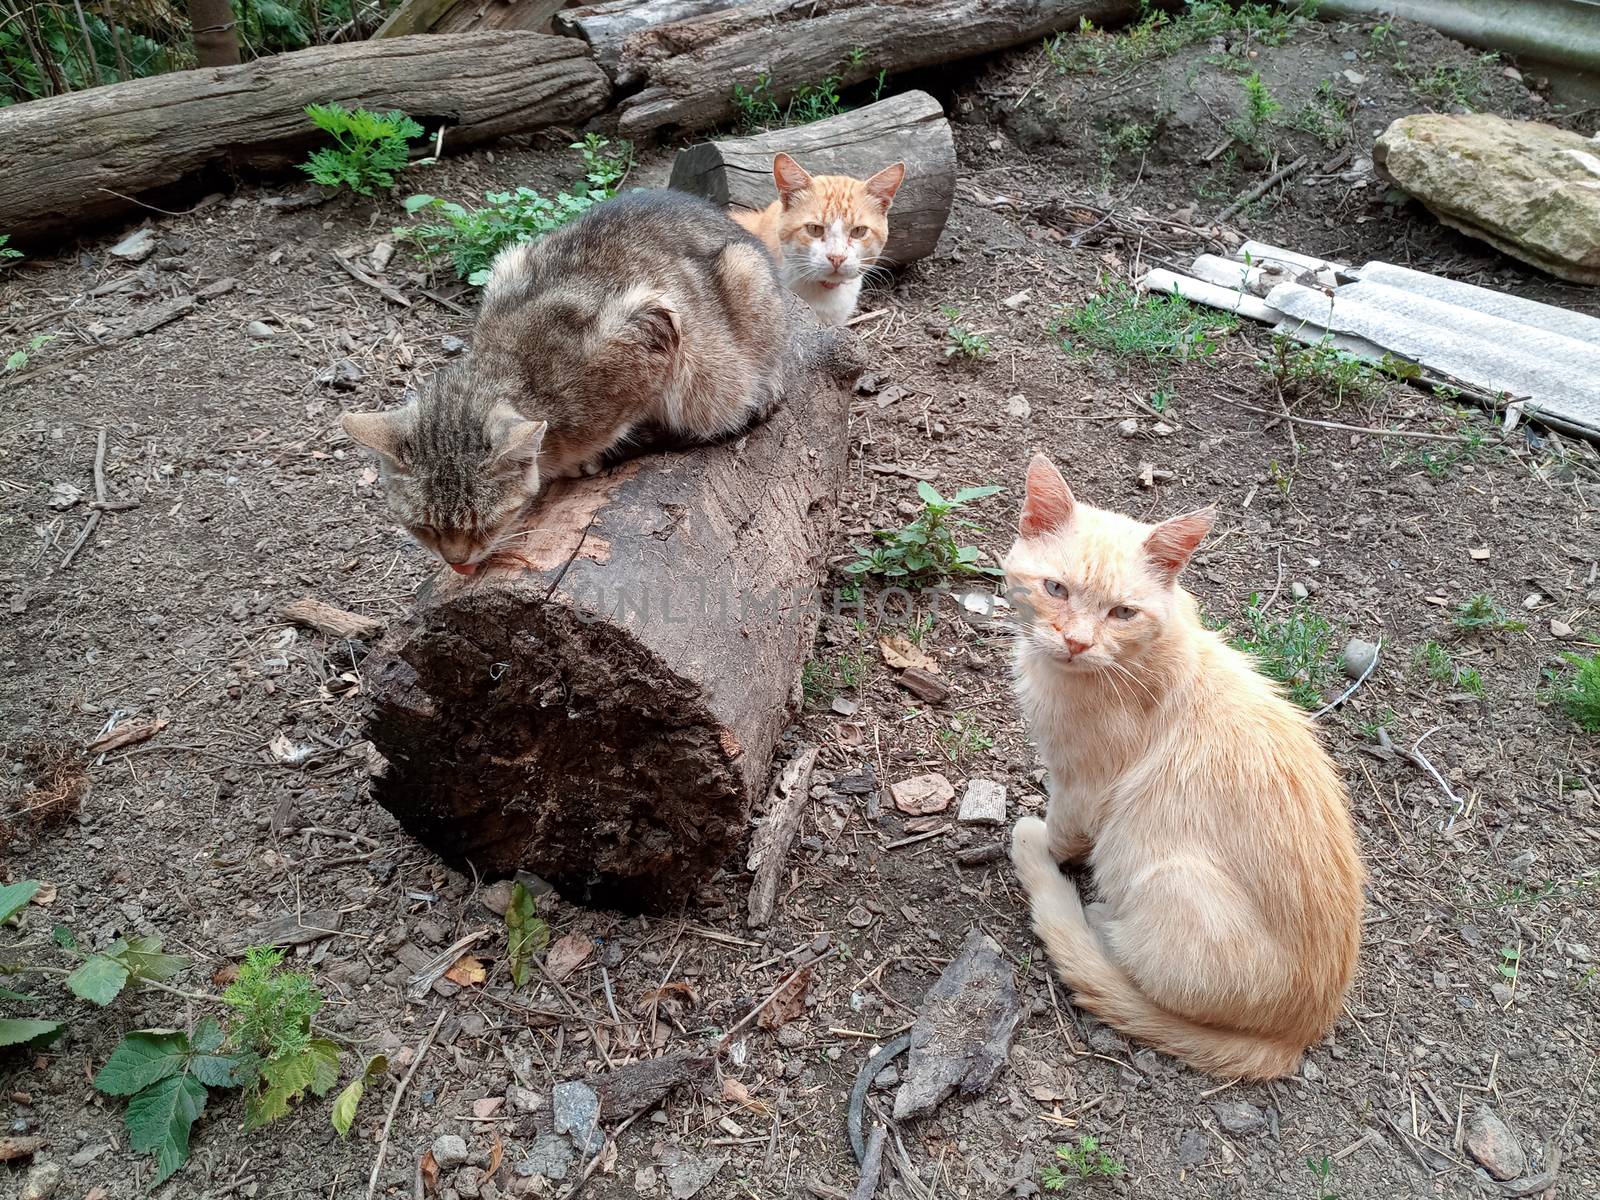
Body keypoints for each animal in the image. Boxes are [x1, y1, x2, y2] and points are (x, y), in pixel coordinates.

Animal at [352, 190, 800, 576]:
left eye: (484, 524)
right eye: (423, 527)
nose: (457, 562)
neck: (510, 367)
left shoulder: (653, 328)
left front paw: (599, 456)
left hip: (741, 291)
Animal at [998, 454, 1363, 1088]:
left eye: (1122, 612)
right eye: (1056, 589)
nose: (1077, 641)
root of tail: (1297, 1036)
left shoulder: (1085, 786)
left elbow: (1062, 830)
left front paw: (1042, 842)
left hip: (1166, 873)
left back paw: (1097, 918)